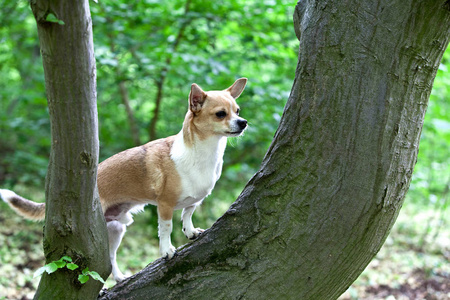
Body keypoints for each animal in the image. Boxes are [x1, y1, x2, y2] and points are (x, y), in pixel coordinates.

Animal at [0, 77, 248, 282]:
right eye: (221, 114)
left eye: (237, 110)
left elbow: (188, 213)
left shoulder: (194, 199)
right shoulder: (165, 205)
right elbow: (166, 229)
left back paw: (119, 278)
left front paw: (190, 230)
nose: (243, 122)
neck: (203, 153)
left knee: (110, 259)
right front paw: (166, 250)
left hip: (116, 229)